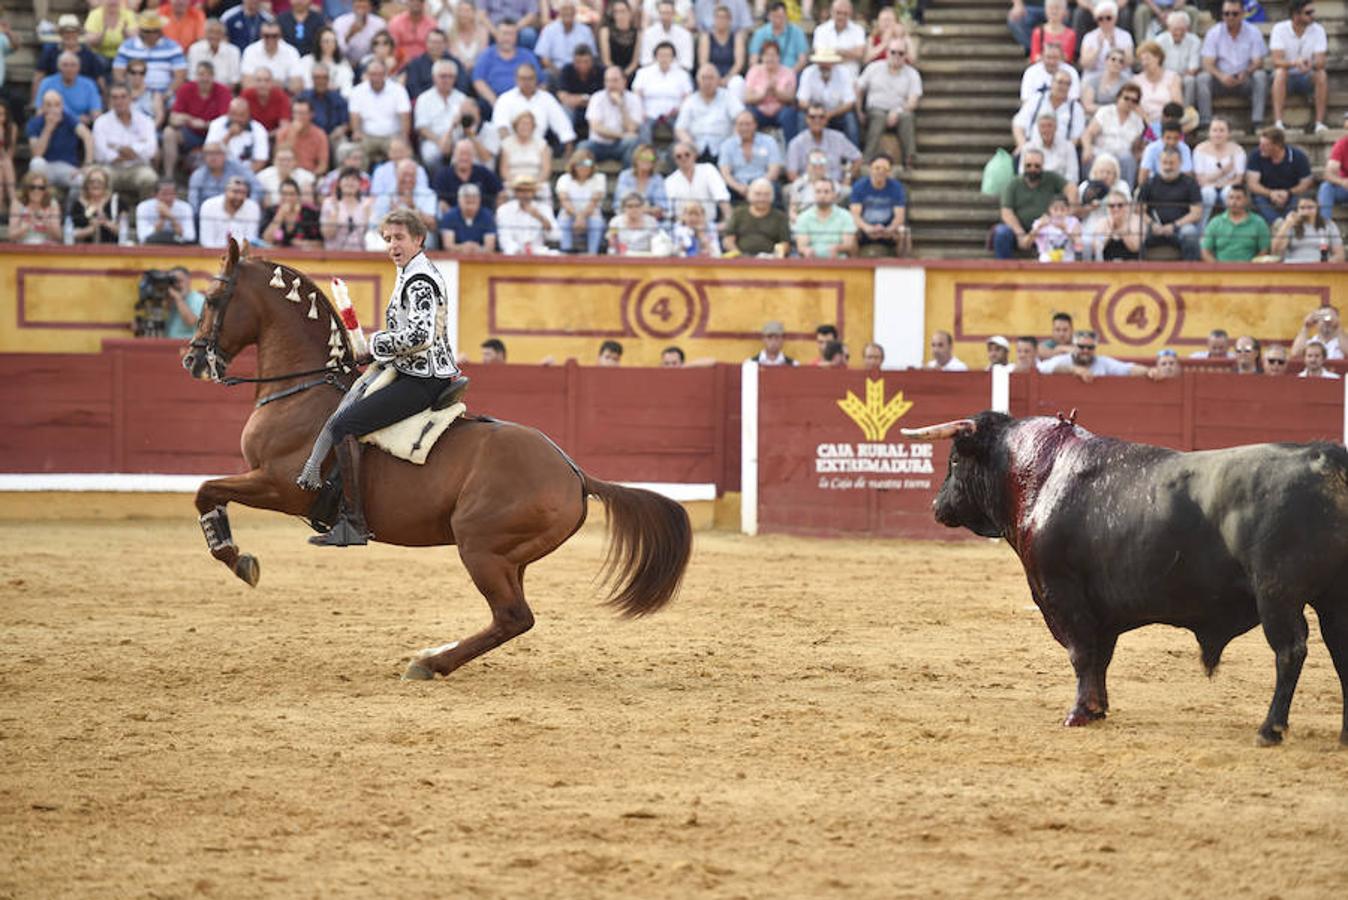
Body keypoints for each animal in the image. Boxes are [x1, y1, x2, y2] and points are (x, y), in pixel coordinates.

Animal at [184, 242, 690, 679]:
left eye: (212, 298)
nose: (192, 360)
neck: (300, 392)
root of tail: (573, 472)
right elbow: (208, 491)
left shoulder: (280, 486)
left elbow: (205, 490)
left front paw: (237, 559)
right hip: (511, 557)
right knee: (510, 617)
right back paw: (436, 653)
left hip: (479, 547)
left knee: (513, 616)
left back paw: (430, 663)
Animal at [900, 409, 1348, 743]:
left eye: (954, 459)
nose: (937, 506)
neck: (1041, 477)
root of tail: (1325, 457)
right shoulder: (1102, 612)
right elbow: (1100, 657)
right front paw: (1098, 708)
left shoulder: (1061, 594)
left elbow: (1081, 654)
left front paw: (1080, 713)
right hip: (1330, 600)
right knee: (1340, 653)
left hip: (1278, 595)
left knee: (1290, 651)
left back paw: (1270, 729)